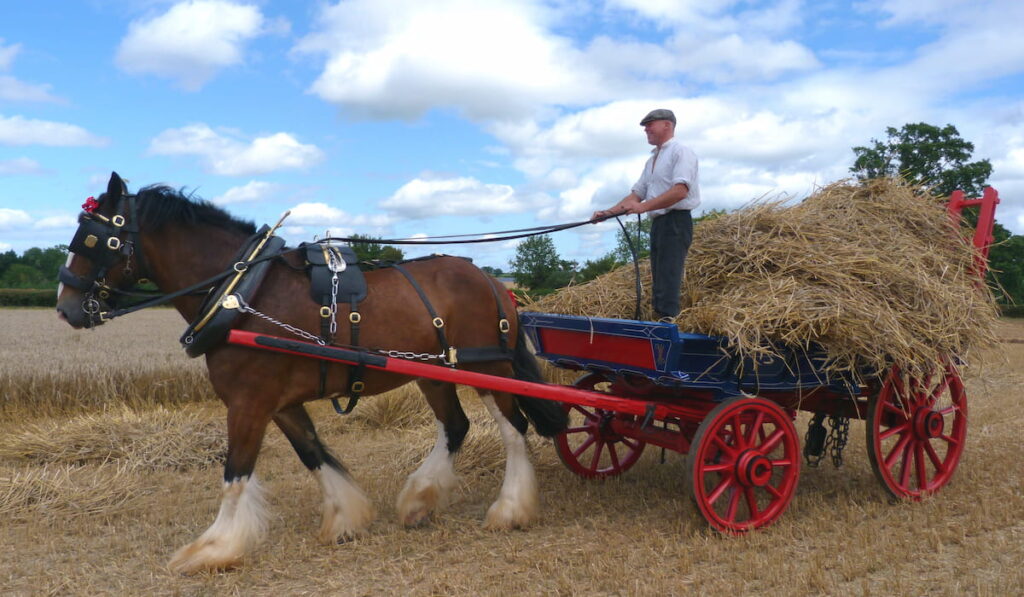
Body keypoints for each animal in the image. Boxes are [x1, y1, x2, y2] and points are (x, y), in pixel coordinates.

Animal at [56, 173, 569, 573]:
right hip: (435, 373)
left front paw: (214, 548)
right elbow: (313, 454)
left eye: (95, 240)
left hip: (491, 368)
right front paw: (346, 518)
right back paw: (419, 499)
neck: (241, 292)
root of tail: (492, 281)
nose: (65, 309)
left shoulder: (248, 404)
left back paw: (510, 509)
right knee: (456, 426)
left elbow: (235, 472)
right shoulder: (280, 404)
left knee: (513, 427)